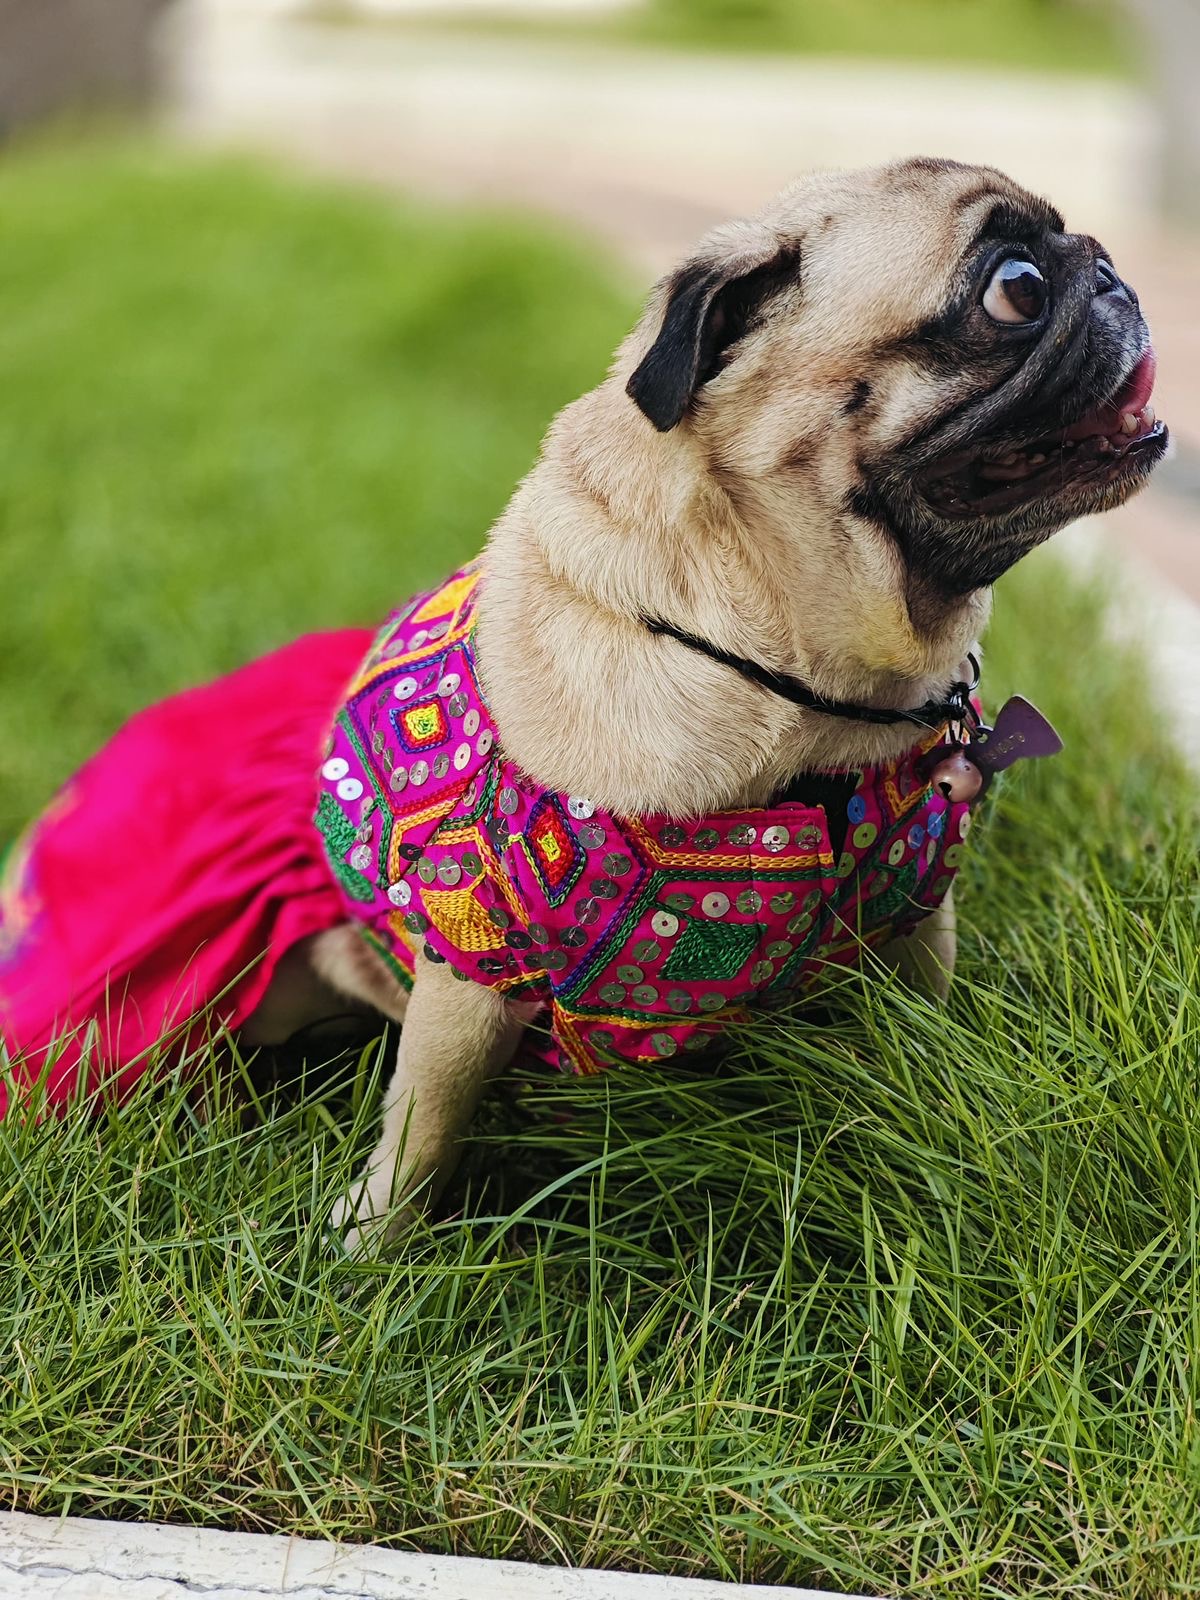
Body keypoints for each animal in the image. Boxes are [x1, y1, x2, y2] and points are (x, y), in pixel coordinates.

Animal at [0, 159, 1164, 1248]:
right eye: (1015, 289)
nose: (1110, 266)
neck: (805, 700)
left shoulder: (918, 916)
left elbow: (922, 1022)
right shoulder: (469, 964)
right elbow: (421, 1134)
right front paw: (369, 1253)